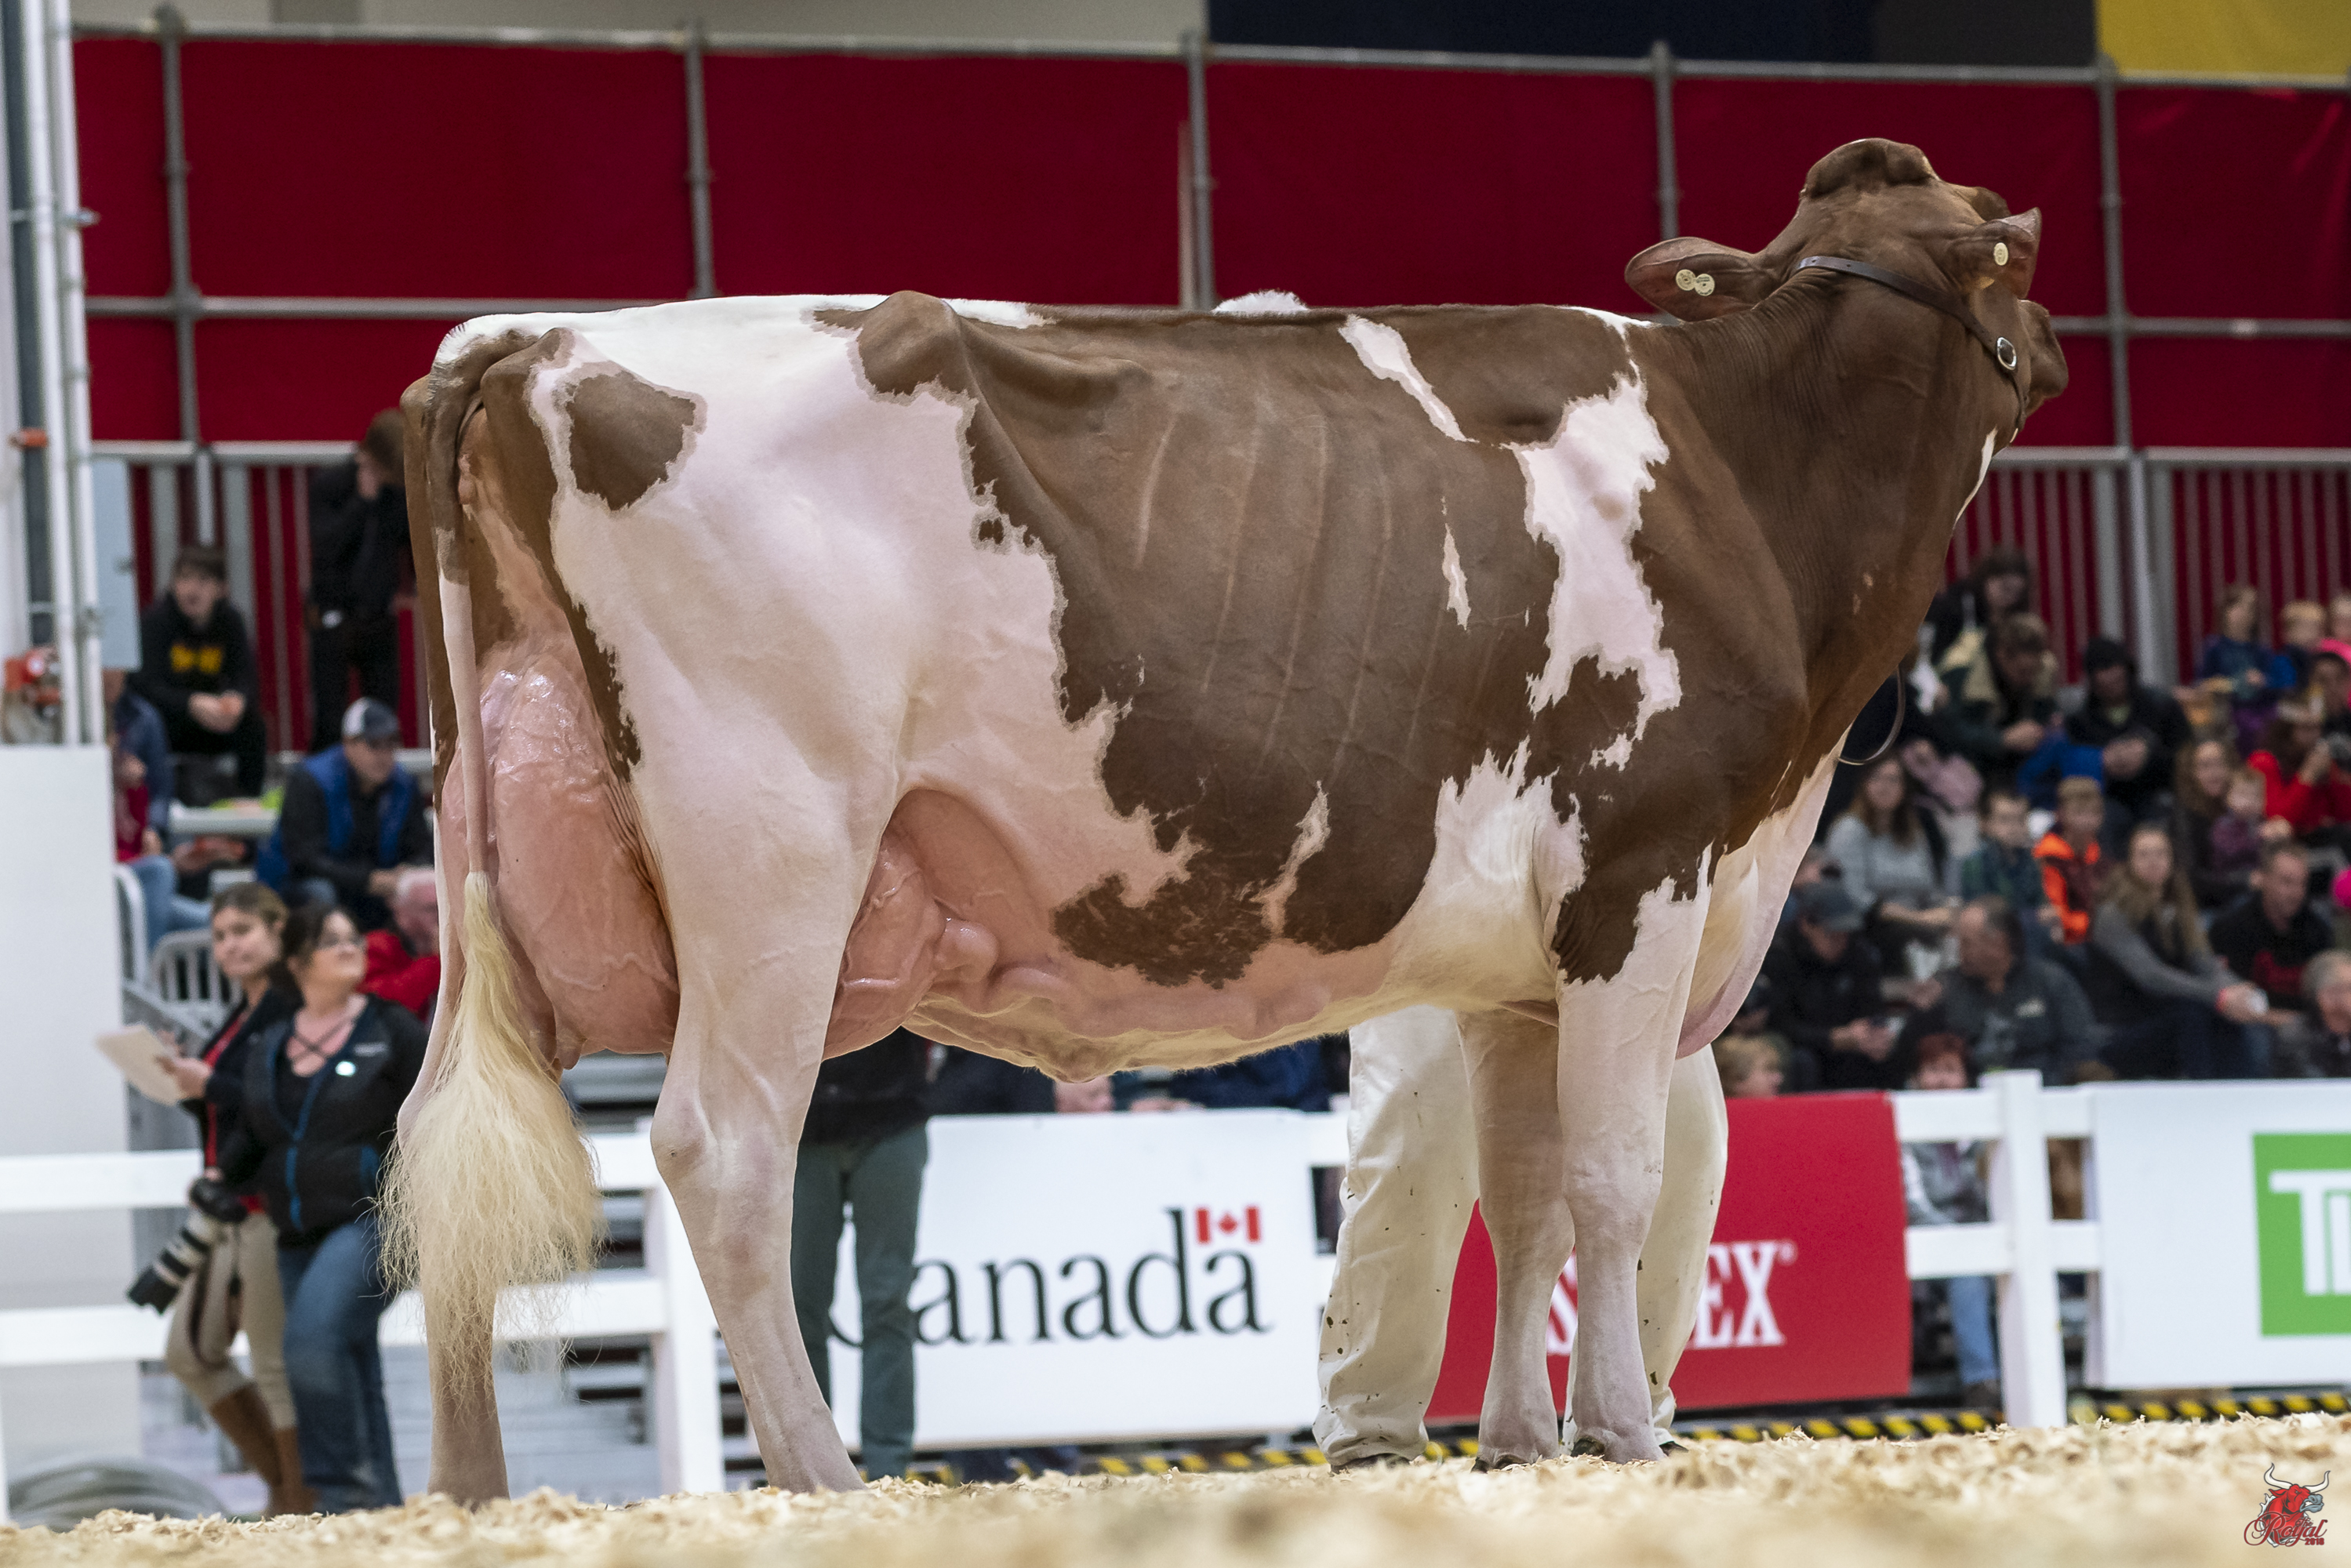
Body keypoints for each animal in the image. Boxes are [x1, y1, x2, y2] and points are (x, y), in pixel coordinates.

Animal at [385, 136, 2064, 1501]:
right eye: (2006, 244)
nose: (2051, 346)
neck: (1741, 480)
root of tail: (534, 336)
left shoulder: (1520, 969)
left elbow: (1517, 1198)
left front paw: (1521, 1442)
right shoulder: (1637, 871)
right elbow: (1611, 1176)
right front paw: (1624, 1436)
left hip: (488, 852)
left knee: (446, 1145)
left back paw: (470, 1495)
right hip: (772, 845)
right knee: (722, 1148)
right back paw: (818, 1476)